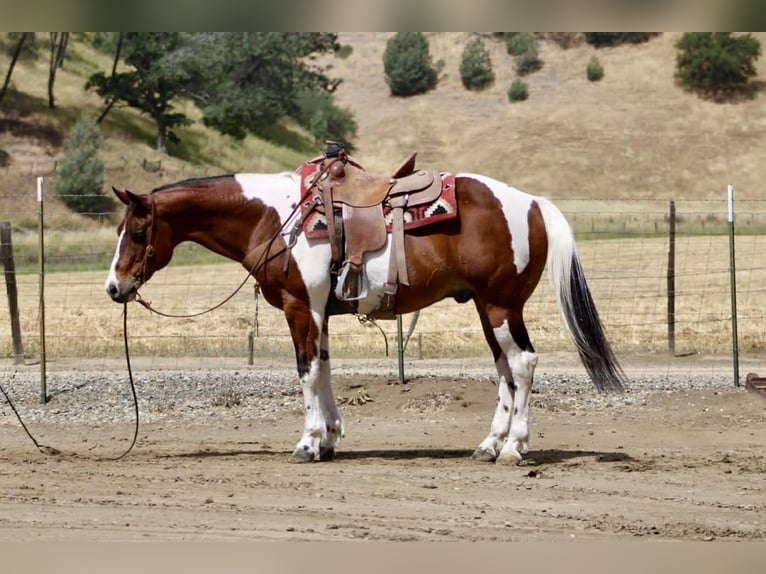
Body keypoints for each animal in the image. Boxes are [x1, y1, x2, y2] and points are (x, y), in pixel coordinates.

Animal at [105, 160, 625, 464]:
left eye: (137, 232)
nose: (114, 287)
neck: (275, 218)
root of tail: (534, 203)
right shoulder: (319, 311)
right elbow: (324, 369)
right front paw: (330, 438)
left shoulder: (300, 306)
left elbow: (306, 371)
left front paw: (308, 442)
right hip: (486, 306)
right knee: (505, 369)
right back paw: (489, 445)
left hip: (500, 304)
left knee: (523, 364)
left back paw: (514, 448)